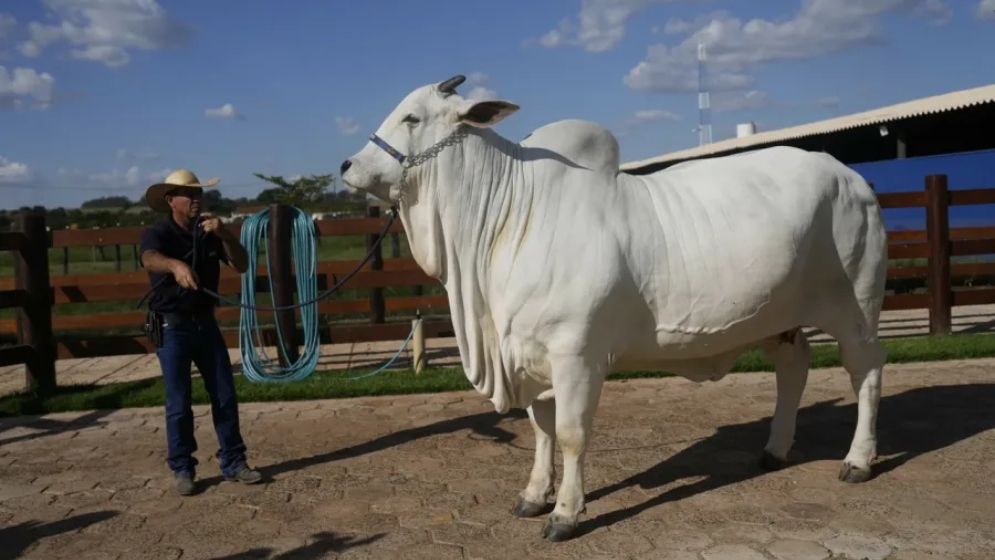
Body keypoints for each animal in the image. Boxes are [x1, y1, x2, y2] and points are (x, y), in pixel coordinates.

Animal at [341, 75, 887, 541]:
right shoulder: (532, 355)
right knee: (794, 369)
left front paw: (565, 513)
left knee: (866, 374)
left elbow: (570, 434)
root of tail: (853, 178)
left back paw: (858, 460)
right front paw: (534, 495)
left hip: (856, 310)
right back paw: (775, 449)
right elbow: (540, 430)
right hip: (784, 319)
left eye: (412, 117)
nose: (347, 166)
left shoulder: (575, 355)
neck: (508, 219)